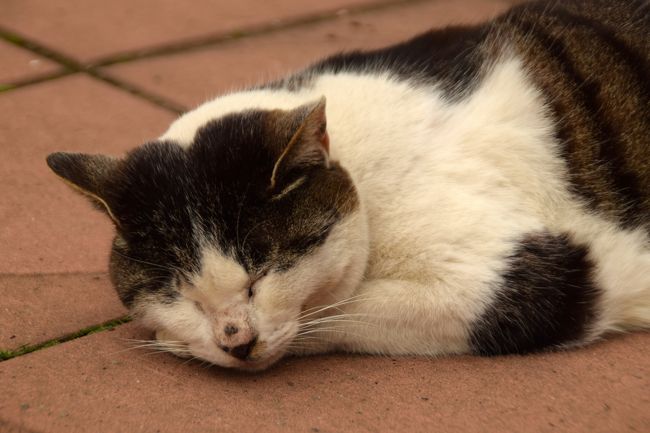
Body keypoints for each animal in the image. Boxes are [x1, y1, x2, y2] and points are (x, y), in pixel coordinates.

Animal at [46, 0, 648, 372]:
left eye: (261, 277)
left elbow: (340, 311)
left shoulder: (535, 274)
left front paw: (178, 342)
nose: (236, 340)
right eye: (182, 294)